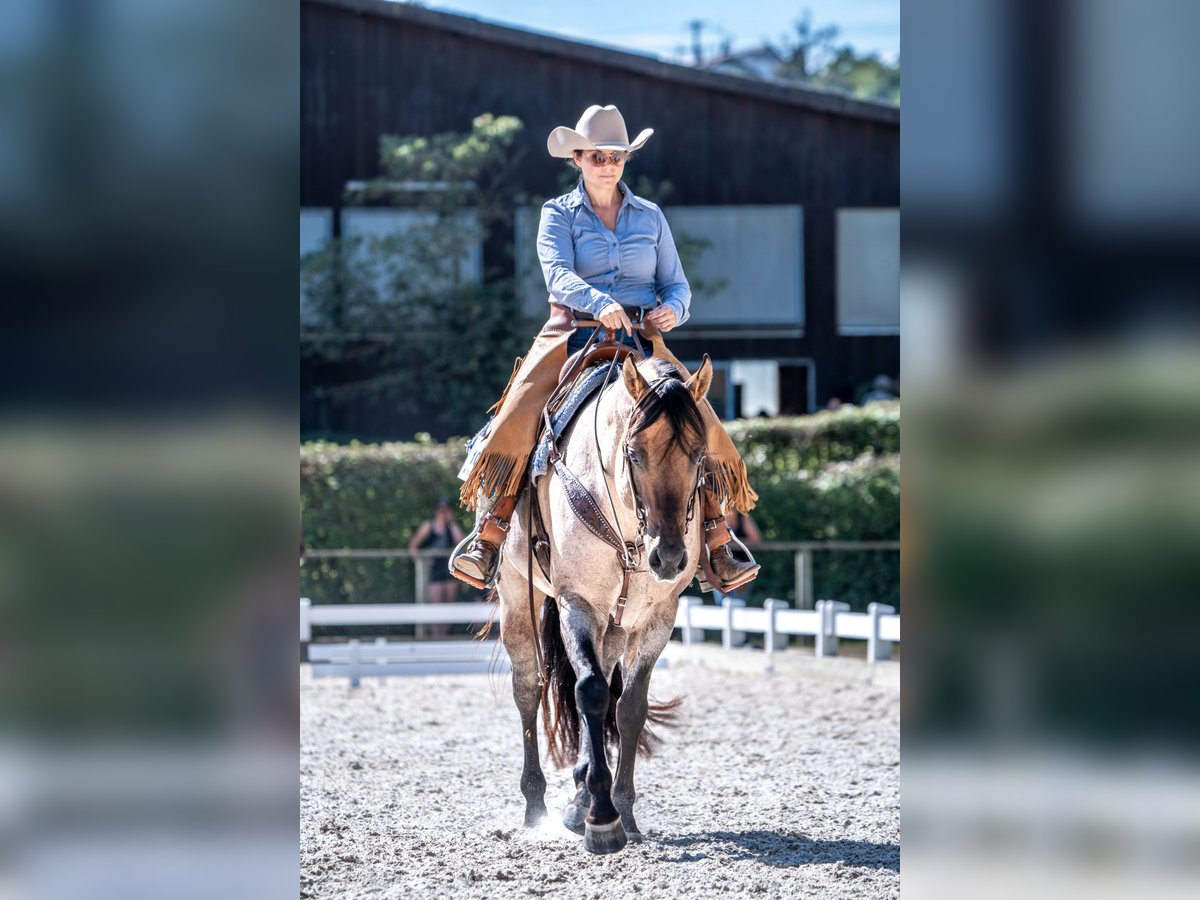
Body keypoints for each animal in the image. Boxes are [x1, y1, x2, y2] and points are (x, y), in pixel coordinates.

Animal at [489, 348, 705, 854]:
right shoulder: (579, 604)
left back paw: (580, 795)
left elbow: (628, 707)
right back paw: (536, 805)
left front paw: (620, 809)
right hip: (517, 599)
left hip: (616, 625)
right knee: (529, 689)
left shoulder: (657, 618)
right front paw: (603, 821)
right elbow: (587, 691)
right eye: (634, 453)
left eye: (699, 455)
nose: (668, 556)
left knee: (605, 682)